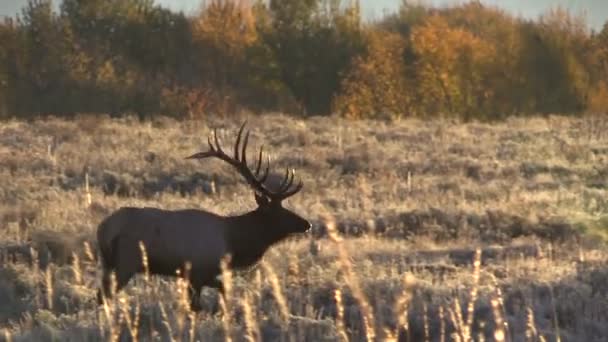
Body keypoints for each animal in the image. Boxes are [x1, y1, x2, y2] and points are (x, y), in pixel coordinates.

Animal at [97, 121, 312, 312]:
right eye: (279, 211)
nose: (307, 224)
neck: (233, 243)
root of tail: (103, 229)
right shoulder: (199, 272)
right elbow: (203, 302)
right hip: (127, 261)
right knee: (105, 295)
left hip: (108, 264)